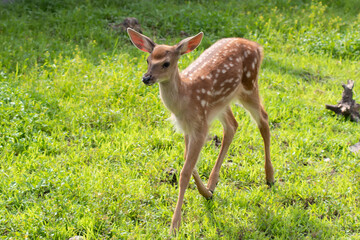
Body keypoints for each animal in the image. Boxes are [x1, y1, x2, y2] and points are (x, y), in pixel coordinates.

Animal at [128, 27, 274, 232]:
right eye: (148, 60)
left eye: (166, 63)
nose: (146, 78)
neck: (185, 98)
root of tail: (257, 46)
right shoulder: (188, 127)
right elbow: (188, 162)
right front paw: (206, 193)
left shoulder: (200, 126)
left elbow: (185, 172)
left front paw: (174, 225)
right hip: (222, 103)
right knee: (233, 125)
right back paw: (213, 182)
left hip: (249, 85)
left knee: (264, 119)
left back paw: (269, 177)